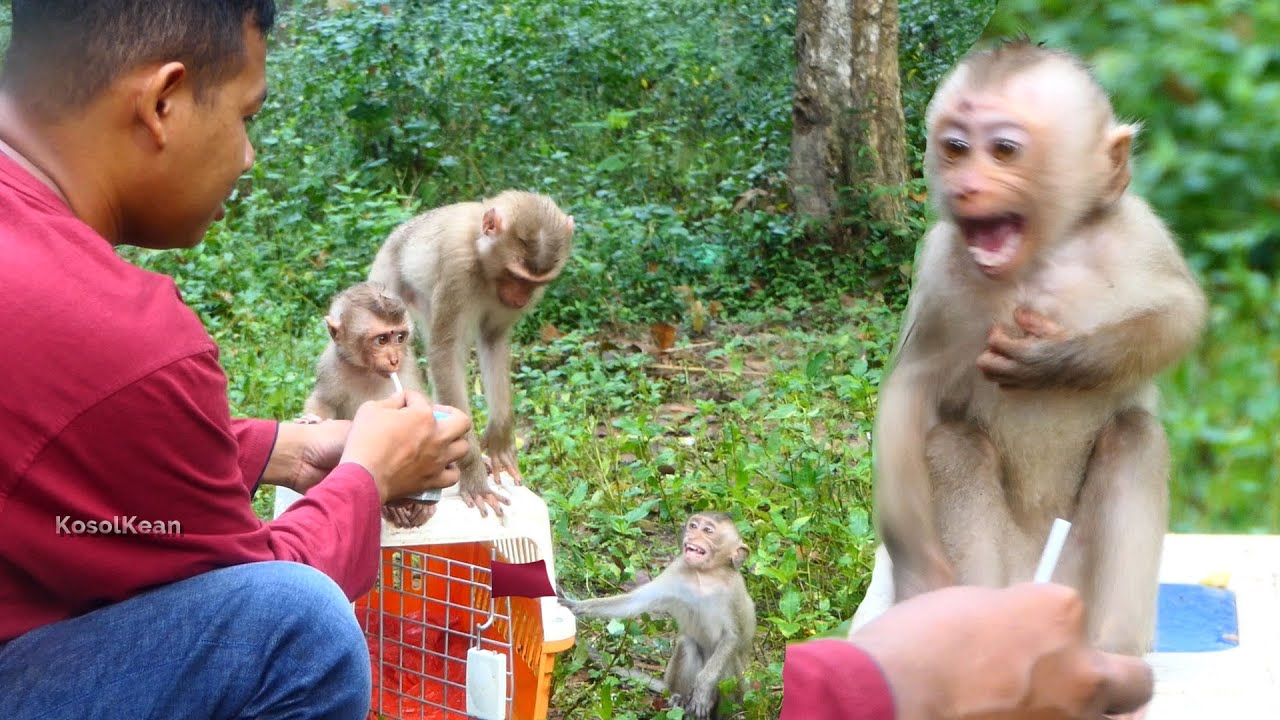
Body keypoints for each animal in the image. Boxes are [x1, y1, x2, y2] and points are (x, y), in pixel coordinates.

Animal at [300, 281, 433, 527]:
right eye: (382, 340)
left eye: (400, 337)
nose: (394, 360)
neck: (366, 370)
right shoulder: (330, 364)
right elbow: (323, 401)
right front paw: (312, 421)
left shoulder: (408, 364)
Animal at [368, 190, 574, 517]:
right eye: (516, 275)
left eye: (536, 283)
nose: (521, 299)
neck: (482, 255)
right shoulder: (458, 269)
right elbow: (446, 353)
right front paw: (473, 473)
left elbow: (494, 339)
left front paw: (500, 441)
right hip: (387, 281)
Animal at [558, 512, 756, 720]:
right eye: (693, 526)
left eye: (708, 530)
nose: (691, 536)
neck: (705, 576)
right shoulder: (676, 570)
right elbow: (633, 602)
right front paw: (576, 606)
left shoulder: (733, 591)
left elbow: (732, 637)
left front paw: (703, 688)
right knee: (687, 643)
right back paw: (679, 699)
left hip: (740, 692)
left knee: (729, 661)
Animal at [869, 40, 1207, 711]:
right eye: (955, 146)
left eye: (1003, 150)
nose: (967, 185)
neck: (1041, 261)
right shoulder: (941, 266)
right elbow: (910, 390)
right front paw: (920, 579)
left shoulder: (1138, 229)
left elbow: (1179, 314)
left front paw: (1063, 360)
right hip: (1011, 571)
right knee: (953, 446)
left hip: (1075, 580)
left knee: (1133, 436)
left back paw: (1116, 658)